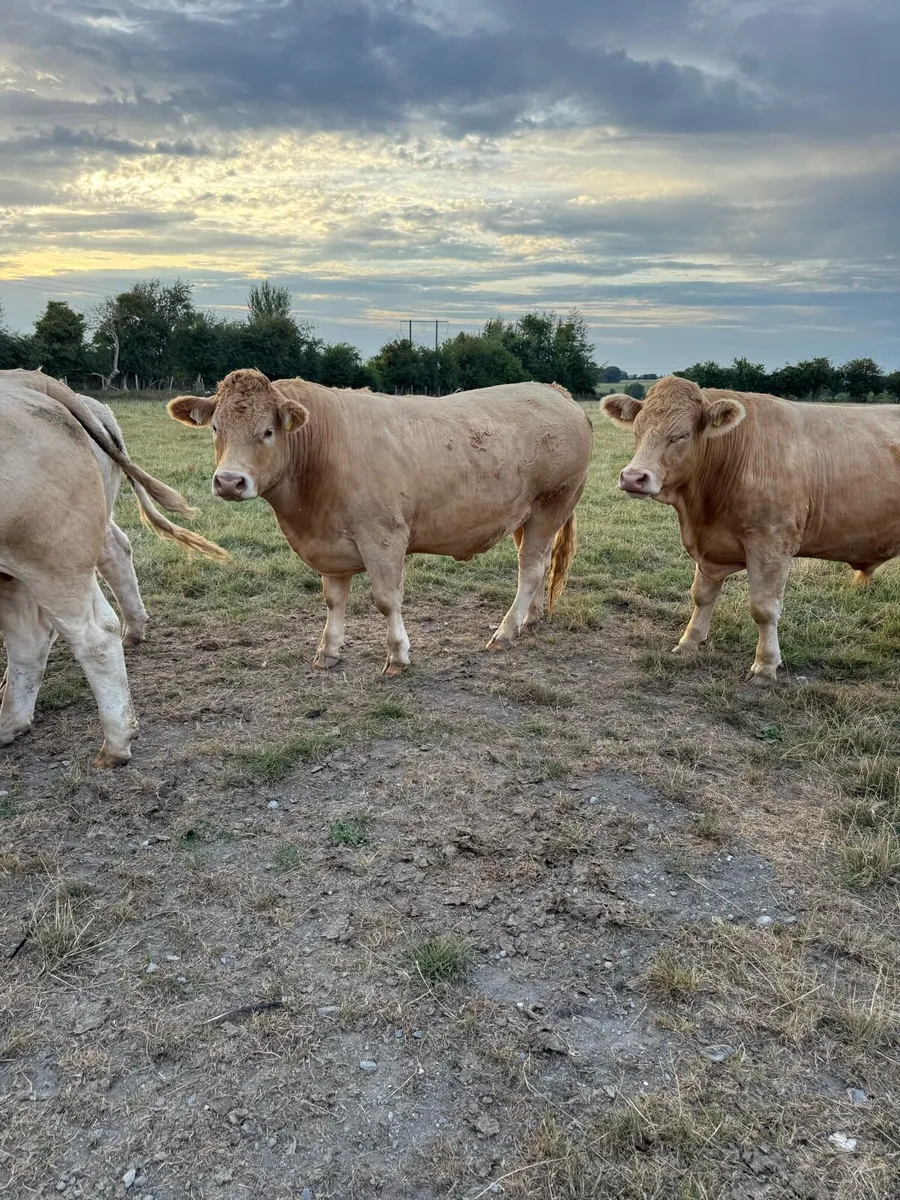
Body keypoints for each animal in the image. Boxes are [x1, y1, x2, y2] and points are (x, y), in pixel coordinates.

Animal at [169, 369, 593, 673]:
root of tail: (553, 390)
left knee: (530, 569)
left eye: (267, 431)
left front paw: (398, 655)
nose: (228, 481)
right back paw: (529, 619)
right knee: (541, 562)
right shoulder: (328, 544)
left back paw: (505, 632)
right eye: (216, 429)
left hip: (552, 503)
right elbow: (334, 599)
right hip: (528, 515)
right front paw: (328, 650)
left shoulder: (383, 536)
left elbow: (387, 600)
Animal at [600, 375, 900, 682]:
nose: (633, 477)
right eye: (637, 431)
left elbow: (763, 609)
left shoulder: (771, 544)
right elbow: (701, 595)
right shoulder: (710, 546)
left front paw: (765, 664)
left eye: (681, 435)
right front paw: (689, 641)